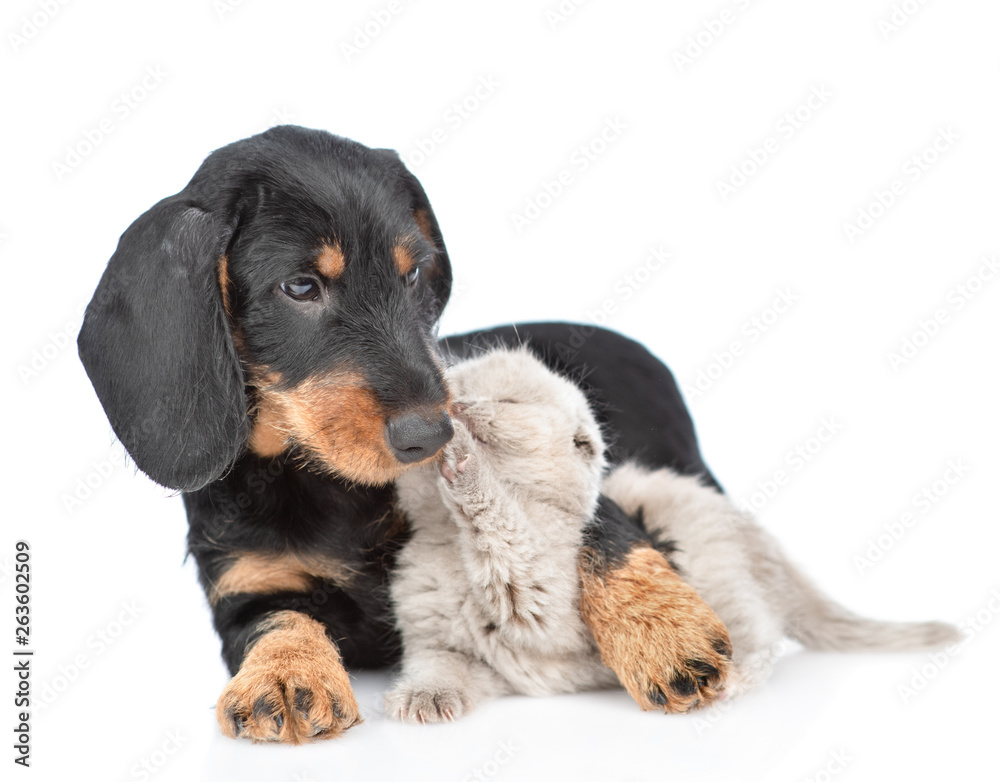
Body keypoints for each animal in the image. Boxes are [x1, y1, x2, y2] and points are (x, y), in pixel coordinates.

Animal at [78, 125, 732, 744]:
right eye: (299, 286)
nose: (431, 434)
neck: (321, 478)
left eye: (413, 272)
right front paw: (286, 674)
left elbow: (602, 526)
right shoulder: (246, 583)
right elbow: (275, 622)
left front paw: (666, 629)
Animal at [386, 346, 956, 724]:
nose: (453, 410)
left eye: (503, 400)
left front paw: (465, 461)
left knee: (760, 636)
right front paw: (425, 697)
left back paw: (731, 683)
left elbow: (504, 527)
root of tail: (758, 539)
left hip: (717, 578)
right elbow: (439, 665)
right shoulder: (447, 645)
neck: (450, 544)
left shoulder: (543, 595)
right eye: (454, 388)